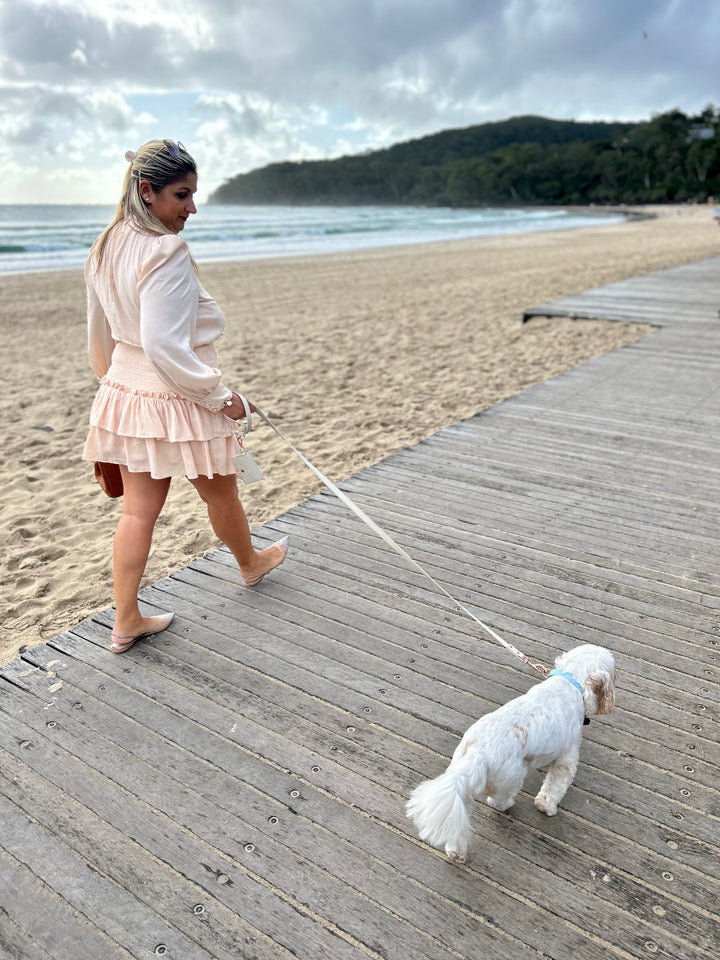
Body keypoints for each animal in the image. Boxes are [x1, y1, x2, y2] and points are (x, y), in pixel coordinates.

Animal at [404, 644, 612, 864]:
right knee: (498, 800)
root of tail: (478, 753)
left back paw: (456, 852)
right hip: (511, 778)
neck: (569, 680)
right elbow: (553, 788)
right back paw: (505, 805)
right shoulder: (567, 758)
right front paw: (546, 807)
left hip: (464, 791)